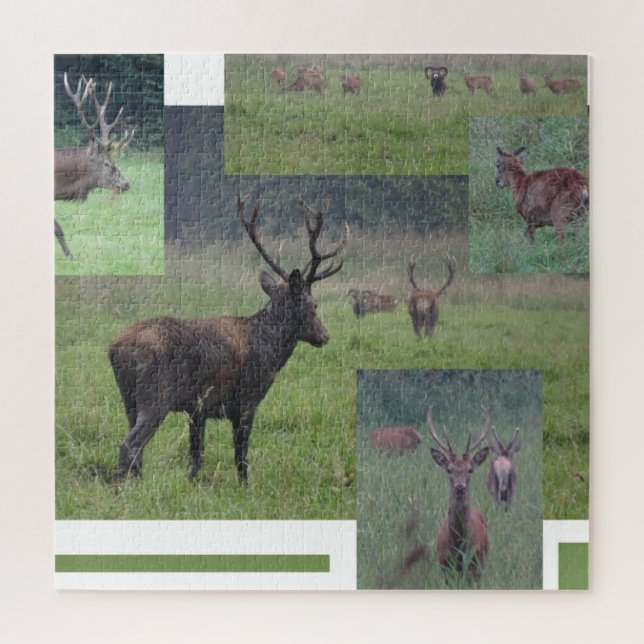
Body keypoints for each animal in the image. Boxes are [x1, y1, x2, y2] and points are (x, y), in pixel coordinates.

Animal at [108, 194, 348, 484]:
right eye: (313, 304)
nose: (325, 335)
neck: (269, 350)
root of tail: (117, 348)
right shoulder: (246, 402)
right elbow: (241, 458)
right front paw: (245, 487)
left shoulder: (198, 409)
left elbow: (196, 457)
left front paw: (191, 483)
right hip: (156, 396)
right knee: (130, 444)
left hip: (128, 398)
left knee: (137, 447)